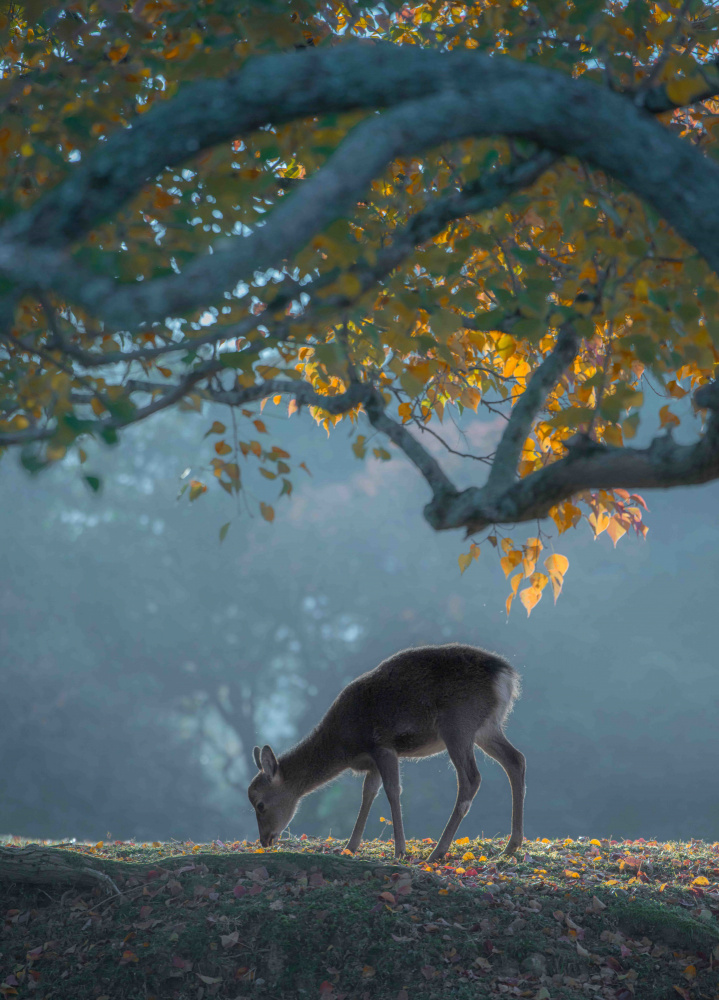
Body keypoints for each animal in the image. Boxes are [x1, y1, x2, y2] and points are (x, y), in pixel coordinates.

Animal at [246, 644, 524, 864]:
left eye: (260, 804)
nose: (265, 840)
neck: (345, 744)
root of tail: (506, 676)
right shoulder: (372, 762)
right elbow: (368, 794)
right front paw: (350, 847)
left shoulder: (383, 746)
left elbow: (392, 791)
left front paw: (399, 851)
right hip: (487, 727)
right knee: (516, 760)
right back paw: (512, 846)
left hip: (458, 725)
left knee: (471, 778)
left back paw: (437, 852)